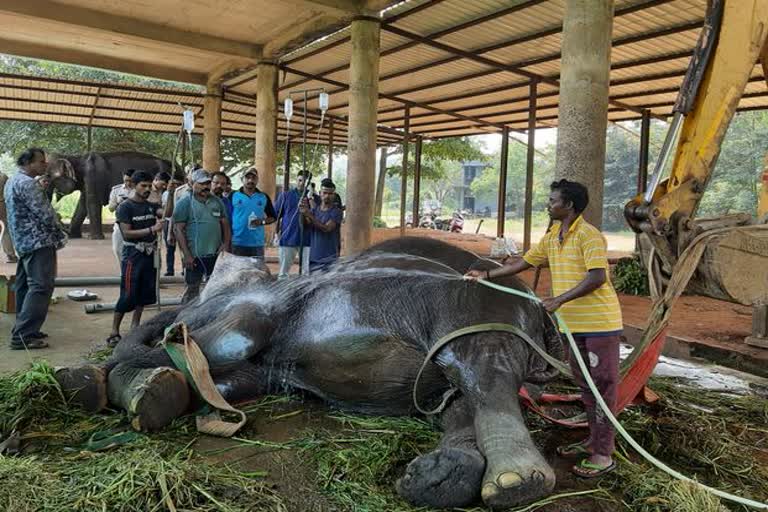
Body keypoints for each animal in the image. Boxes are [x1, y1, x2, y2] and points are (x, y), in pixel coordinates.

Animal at [49, 152, 177, 240]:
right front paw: (73, 236)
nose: (64, 230)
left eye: (50, 176)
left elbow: (92, 202)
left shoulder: (93, 176)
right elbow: (83, 204)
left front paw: (95, 238)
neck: (77, 158)